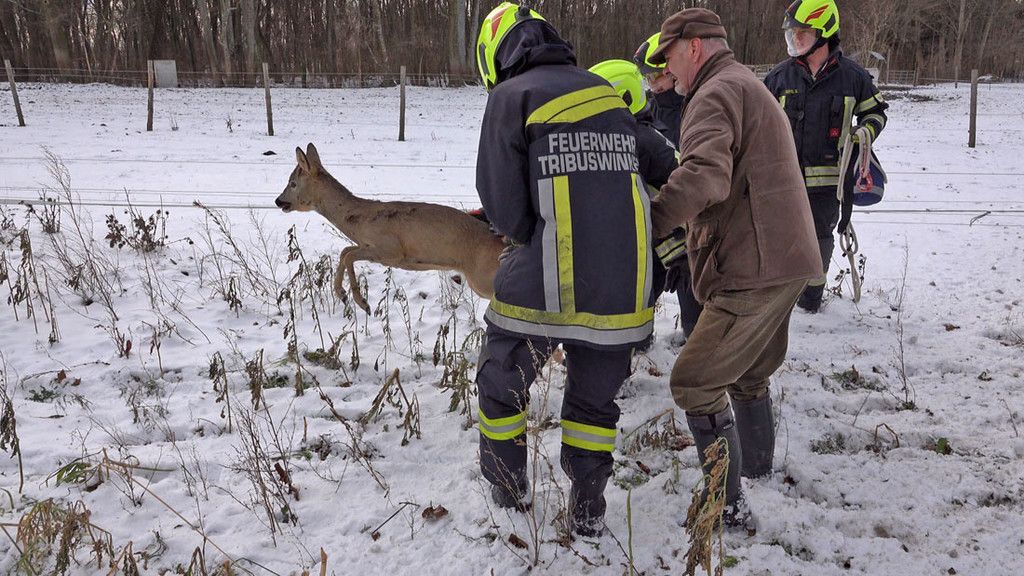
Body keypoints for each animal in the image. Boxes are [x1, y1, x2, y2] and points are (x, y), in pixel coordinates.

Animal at [275, 143, 507, 313]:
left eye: (292, 183)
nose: (278, 201)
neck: (359, 220)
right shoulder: (368, 245)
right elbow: (345, 251)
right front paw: (341, 293)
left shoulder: (391, 251)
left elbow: (349, 256)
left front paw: (363, 303)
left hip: (484, 279)